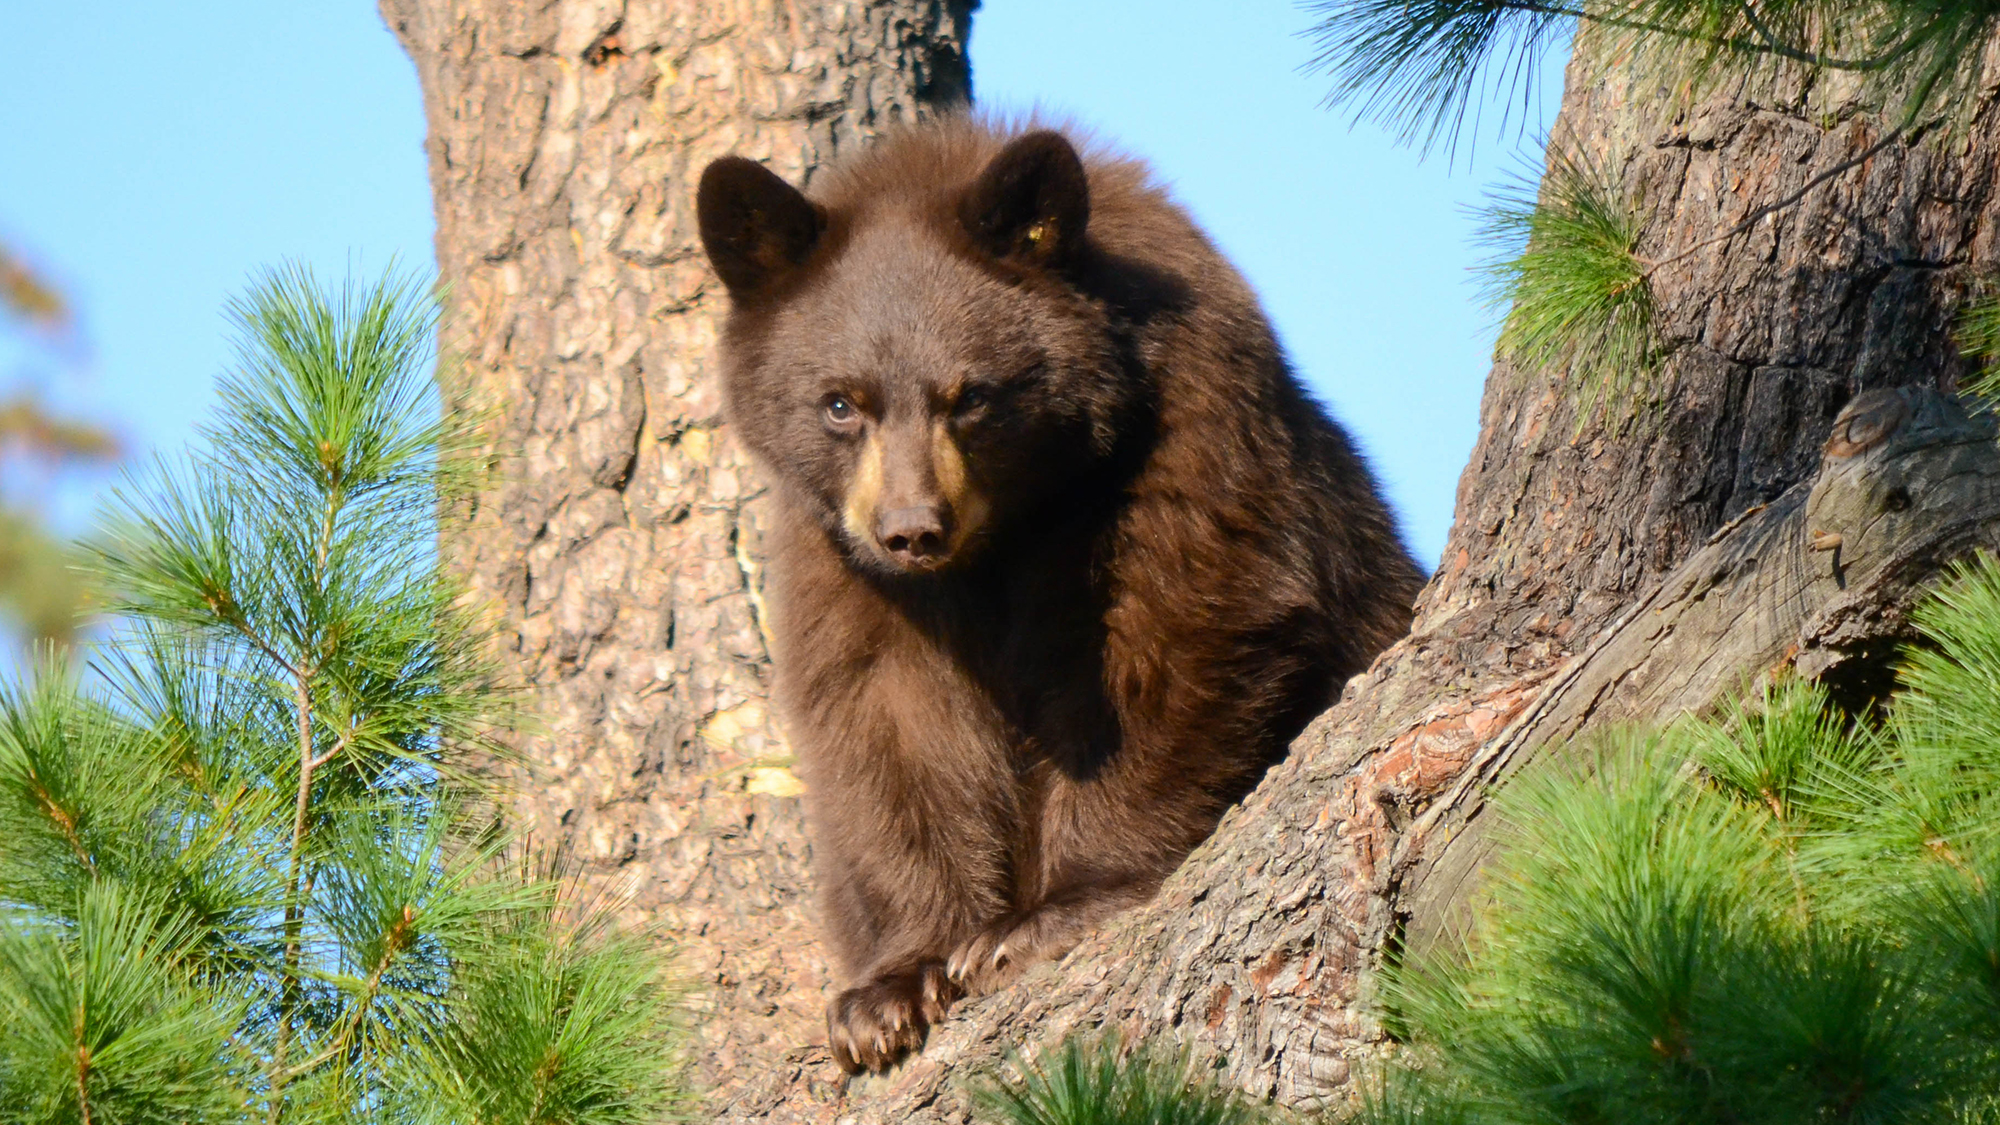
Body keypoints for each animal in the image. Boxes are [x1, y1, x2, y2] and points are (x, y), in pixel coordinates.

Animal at [696, 116, 1432, 1064]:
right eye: (838, 403)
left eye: (971, 396)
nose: (912, 530)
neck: (1013, 525)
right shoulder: (838, 552)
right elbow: (883, 712)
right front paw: (891, 989)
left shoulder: (1183, 434)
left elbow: (1171, 638)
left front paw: (1050, 913)